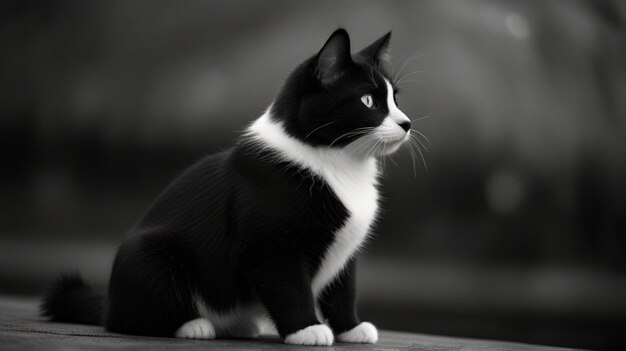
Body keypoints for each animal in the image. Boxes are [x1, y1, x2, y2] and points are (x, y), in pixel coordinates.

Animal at [40, 28, 410, 348]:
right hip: (145, 252)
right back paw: (193, 324)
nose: (406, 123)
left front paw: (351, 328)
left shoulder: (345, 251)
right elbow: (288, 286)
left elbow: (343, 289)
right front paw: (306, 329)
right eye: (367, 100)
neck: (340, 164)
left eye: (394, 99)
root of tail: (109, 301)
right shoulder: (269, 246)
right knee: (128, 318)